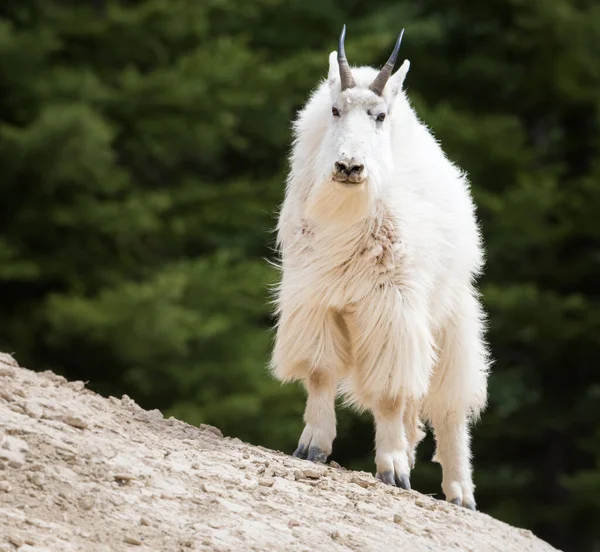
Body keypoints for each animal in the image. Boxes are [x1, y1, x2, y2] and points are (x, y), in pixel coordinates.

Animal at [270, 25, 490, 508]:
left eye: (380, 116)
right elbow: (320, 372)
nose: (349, 166)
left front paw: (392, 469)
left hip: (450, 313)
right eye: (336, 109)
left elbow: (390, 392)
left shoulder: (394, 307)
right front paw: (312, 447)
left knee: (449, 401)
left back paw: (460, 491)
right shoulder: (316, 297)